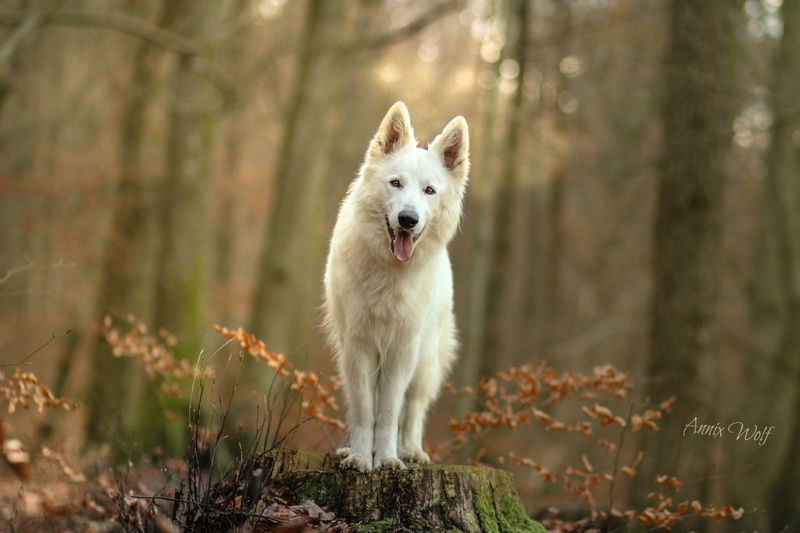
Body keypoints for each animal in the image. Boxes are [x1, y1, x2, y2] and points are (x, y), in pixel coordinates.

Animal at [323, 102, 470, 471]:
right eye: (396, 184)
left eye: (429, 191)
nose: (408, 219)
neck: (389, 272)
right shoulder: (358, 347)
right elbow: (365, 410)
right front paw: (362, 457)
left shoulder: (403, 351)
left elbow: (390, 413)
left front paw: (387, 458)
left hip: (425, 362)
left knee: (414, 410)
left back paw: (411, 451)